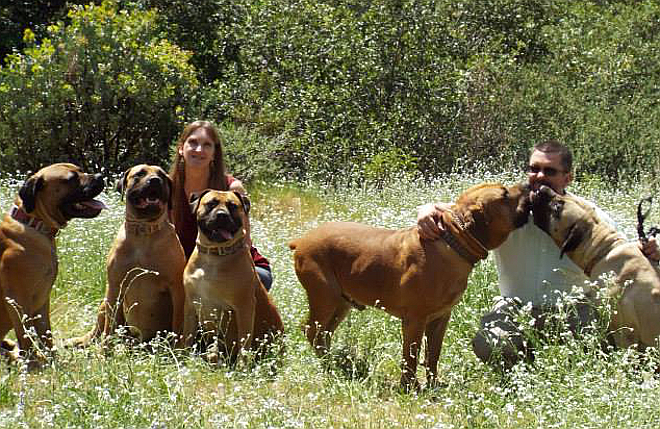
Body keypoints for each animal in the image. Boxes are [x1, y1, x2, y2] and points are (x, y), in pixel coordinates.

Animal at [0, 162, 104, 366]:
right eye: (71, 179)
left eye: (81, 170)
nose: (100, 176)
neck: (33, 223)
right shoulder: (16, 300)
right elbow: (25, 335)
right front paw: (34, 364)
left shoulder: (41, 300)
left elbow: (46, 334)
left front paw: (52, 360)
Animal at [70, 162, 186, 346]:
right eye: (140, 174)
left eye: (161, 175)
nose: (155, 180)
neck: (144, 230)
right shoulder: (115, 285)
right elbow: (108, 327)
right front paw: (104, 351)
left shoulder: (176, 288)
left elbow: (178, 324)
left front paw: (177, 349)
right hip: (104, 302)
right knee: (97, 331)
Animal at [180, 189, 284, 360]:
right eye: (211, 204)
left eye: (233, 206)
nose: (222, 215)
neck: (213, 255)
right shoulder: (190, 304)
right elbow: (186, 337)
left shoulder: (244, 307)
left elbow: (244, 344)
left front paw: (243, 365)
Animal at [288, 182, 532, 390]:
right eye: (504, 195)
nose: (529, 184)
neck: (452, 242)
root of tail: (301, 240)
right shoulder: (415, 320)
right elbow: (411, 356)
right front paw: (410, 387)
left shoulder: (440, 319)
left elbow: (433, 354)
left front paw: (433, 384)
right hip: (324, 298)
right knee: (312, 331)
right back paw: (328, 365)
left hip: (341, 304)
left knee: (324, 333)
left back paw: (333, 361)